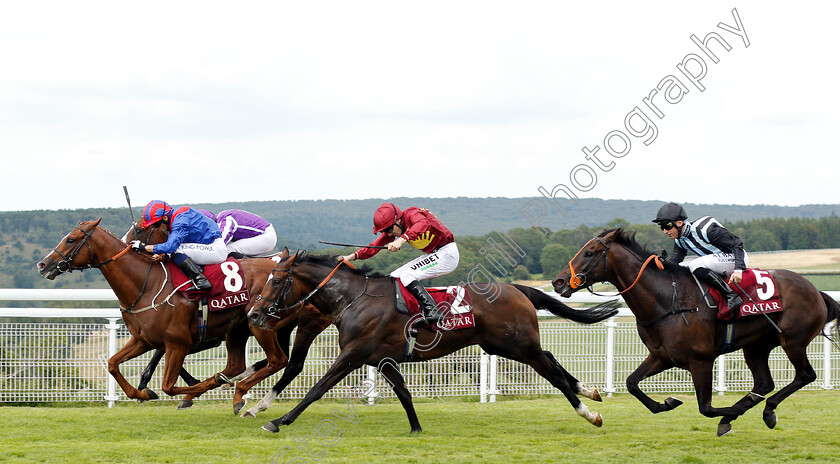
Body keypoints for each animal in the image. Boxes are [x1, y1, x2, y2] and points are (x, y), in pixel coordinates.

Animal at [37, 218, 328, 414]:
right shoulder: (143, 340)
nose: (43, 264)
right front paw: (141, 393)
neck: (146, 283)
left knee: (279, 361)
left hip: (262, 324)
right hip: (238, 329)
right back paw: (232, 390)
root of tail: (284, 266)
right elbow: (112, 363)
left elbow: (168, 384)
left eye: (71, 239)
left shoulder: (177, 343)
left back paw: (238, 393)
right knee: (238, 366)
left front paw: (188, 391)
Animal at [246, 252, 620, 434]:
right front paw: (415, 428)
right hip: (503, 346)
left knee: (552, 373)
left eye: (276, 280)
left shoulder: (353, 355)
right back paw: (590, 391)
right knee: (552, 357)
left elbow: (317, 389)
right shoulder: (381, 360)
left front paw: (276, 420)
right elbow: (404, 393)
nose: (254, 313)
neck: (354, 299)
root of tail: (517, 288)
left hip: (518, 346)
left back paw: (589, 413)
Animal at [552, 227, 840, 436]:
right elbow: (632, 383)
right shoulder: (662, 357)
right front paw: (667, 403)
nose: (559, 281)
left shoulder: (701, 360)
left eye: (590, 253)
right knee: (764, 383)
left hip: (793, 340)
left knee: (805, 375)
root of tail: (816, 290)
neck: (667, 301)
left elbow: (706, 408)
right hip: (756, 346)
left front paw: (728, 415)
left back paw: (767, 411)